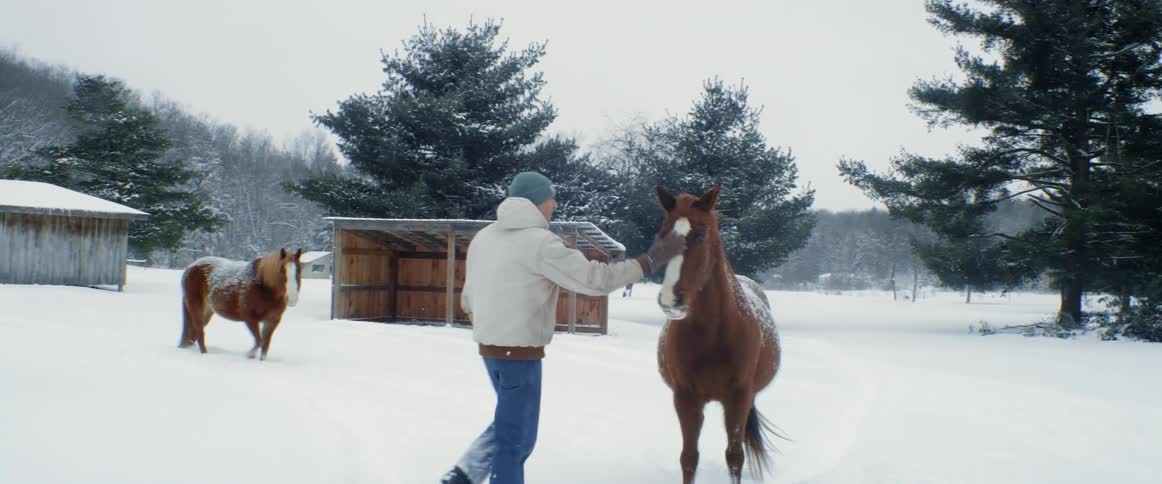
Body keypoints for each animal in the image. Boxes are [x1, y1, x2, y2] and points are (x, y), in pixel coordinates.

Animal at [655, 185, 782, 484]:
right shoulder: (686, 398)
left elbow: (734, 456)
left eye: (700, 235)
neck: (713, 334)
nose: (670, 300)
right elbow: (689, 458)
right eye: (662, 234)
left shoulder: (738, 397)